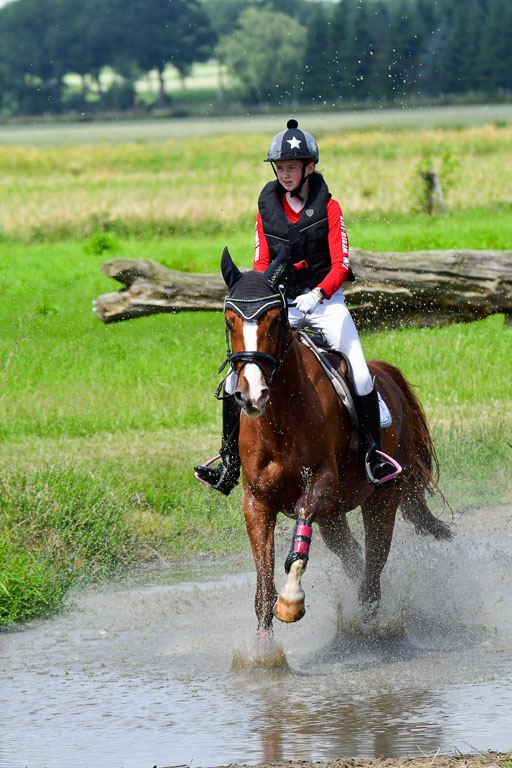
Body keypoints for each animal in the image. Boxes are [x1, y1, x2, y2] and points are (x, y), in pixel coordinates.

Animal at [219, 248, 451, 637]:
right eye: (229, 320)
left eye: (275, 319)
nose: (252, 395)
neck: (280, 415)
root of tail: (386, 375)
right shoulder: (257, 500)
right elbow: (263, 584)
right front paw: (263, 648)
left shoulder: (322, 484)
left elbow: (299, 535)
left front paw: (291, 600)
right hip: (336, 516)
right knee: (352, 553)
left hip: (383, 497)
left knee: (374, 561)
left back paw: (367, 622)